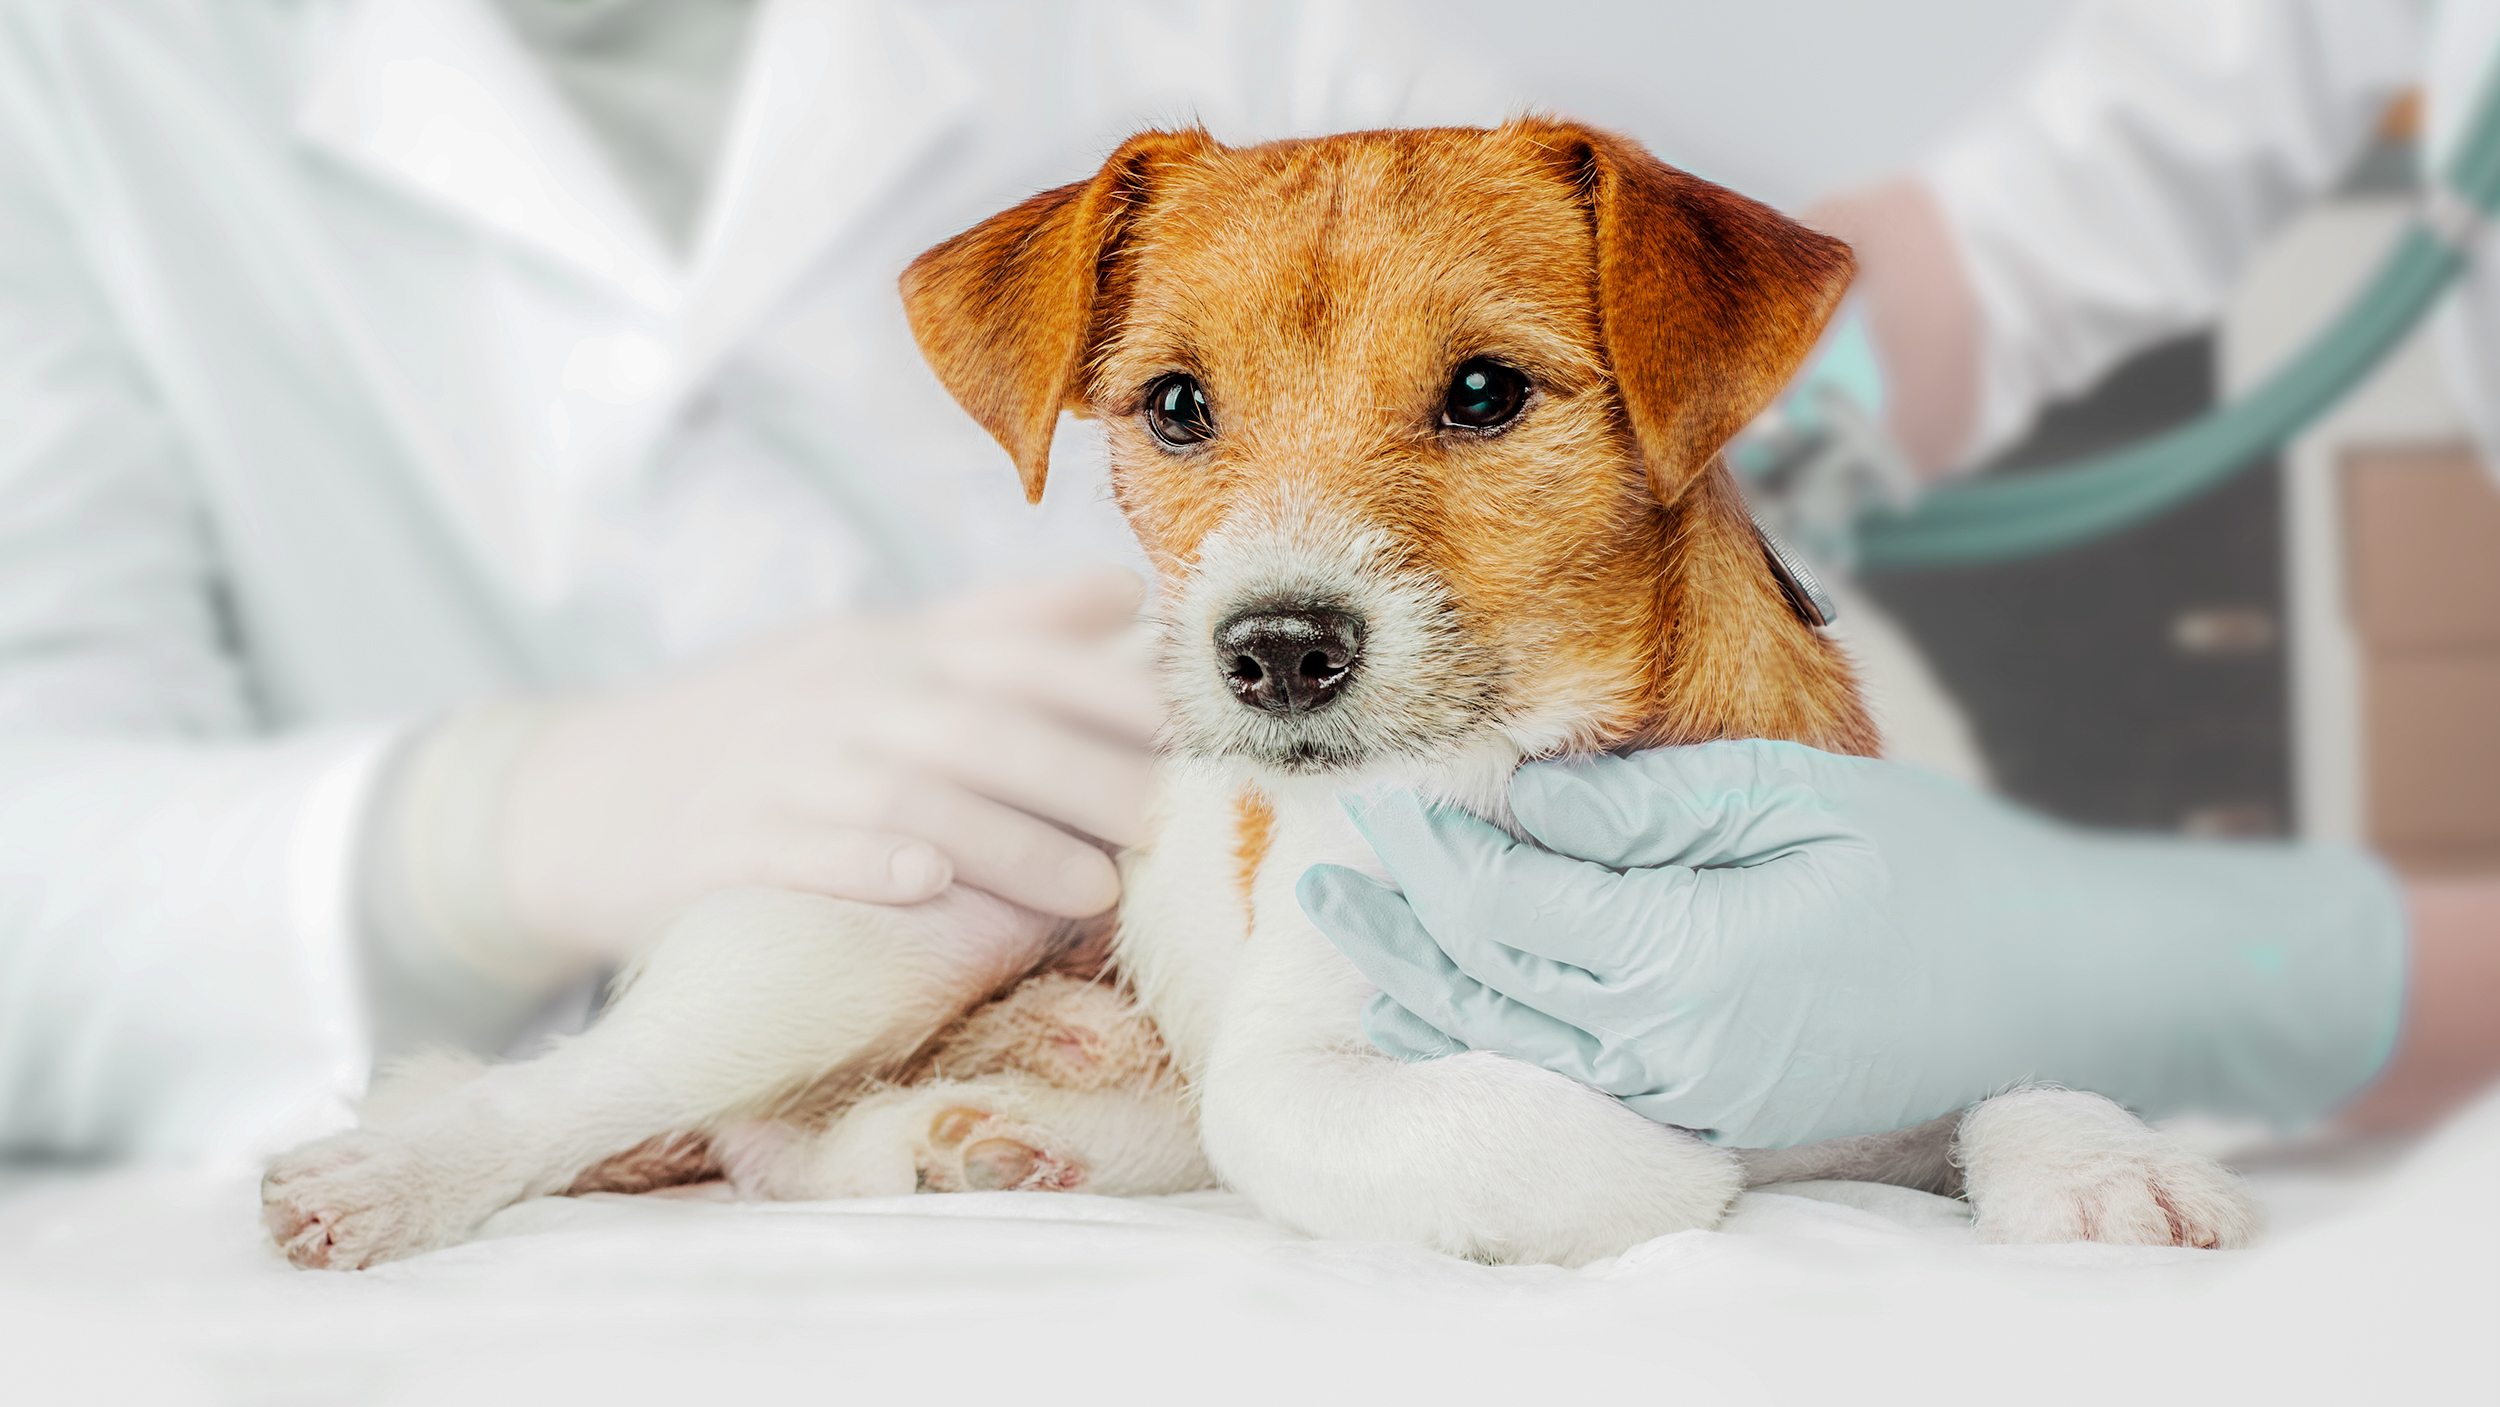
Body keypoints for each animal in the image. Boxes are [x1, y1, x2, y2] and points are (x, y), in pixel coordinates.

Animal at [263, 118, 2260, 1264]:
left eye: (1484, 392)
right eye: (1173, 405)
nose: (1278, 650)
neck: (1557, 777)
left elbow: (2015, 1066)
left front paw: (2104, 1162)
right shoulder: (1313, 1063)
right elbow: (1452, 1127)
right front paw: (1668, 1153)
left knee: (809, 1145)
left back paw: (1010, 1123)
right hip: (866, 915)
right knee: (606, 1094)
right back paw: (398, 1177)